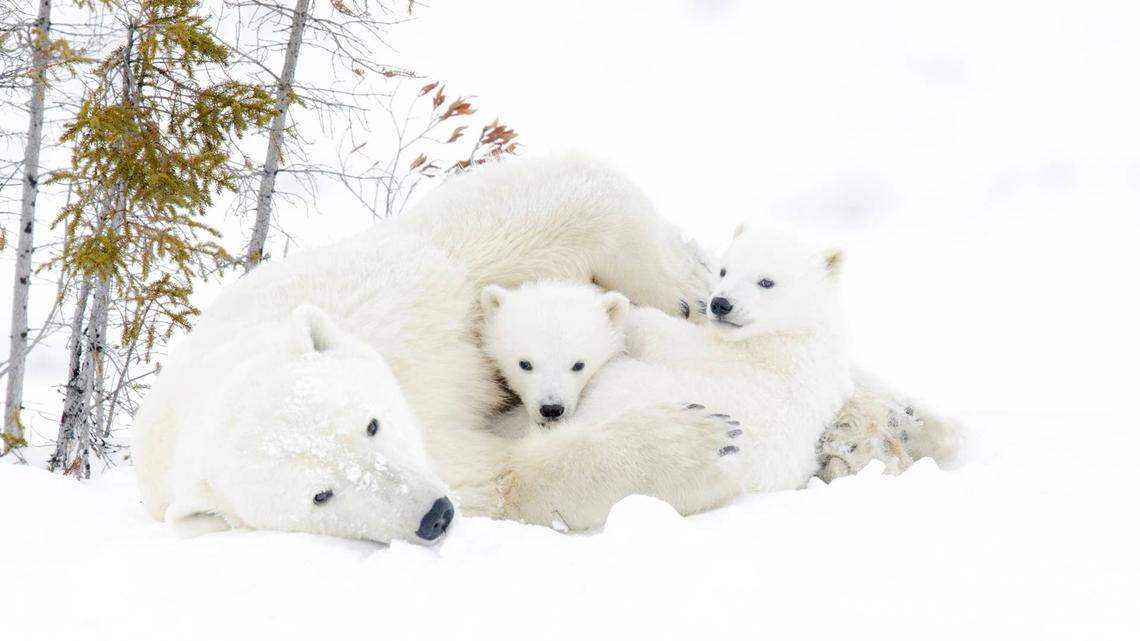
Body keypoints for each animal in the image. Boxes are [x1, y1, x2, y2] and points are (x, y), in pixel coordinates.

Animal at [132, 153, 743, 544]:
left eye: (371, 424)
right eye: (321, 495)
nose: (434, 515)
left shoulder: (401, 298)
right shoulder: (449, 468)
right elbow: (507, 481)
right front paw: (698, 443)